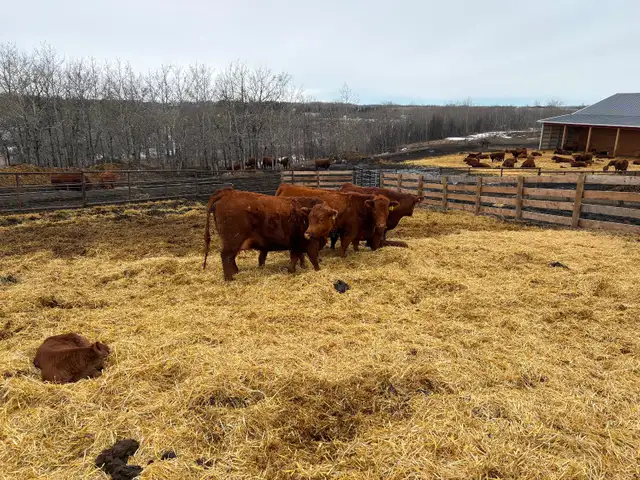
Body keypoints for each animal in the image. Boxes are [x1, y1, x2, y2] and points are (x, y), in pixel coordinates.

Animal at [203, 188, 338, 280]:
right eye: (310, 219)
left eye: (321, 219)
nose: (308, 234)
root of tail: (228, 192)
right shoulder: (309, 243)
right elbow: (313, 258)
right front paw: (317, 271)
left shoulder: (295, 243)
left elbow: (296, 257)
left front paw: (292, 270)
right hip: (233, 240)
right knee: (226, 256)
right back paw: (229, 278)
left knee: (231, 258)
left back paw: (235, 272)